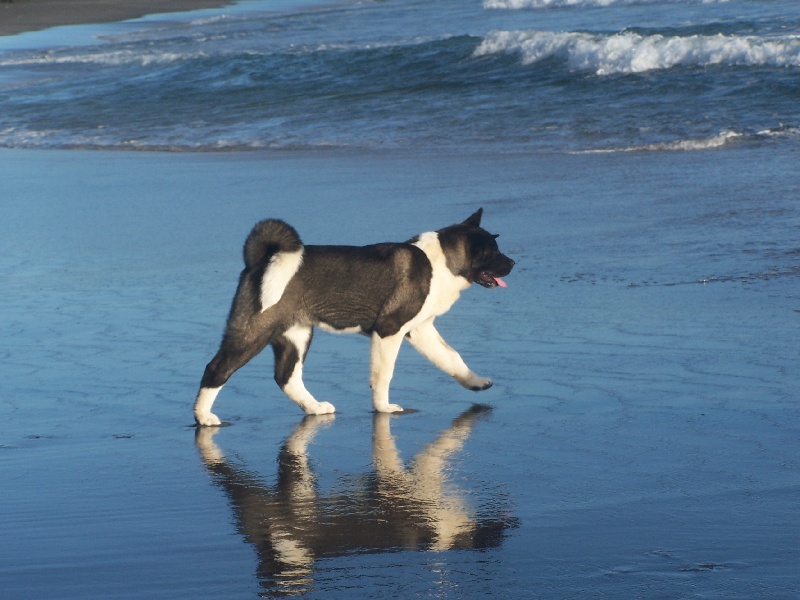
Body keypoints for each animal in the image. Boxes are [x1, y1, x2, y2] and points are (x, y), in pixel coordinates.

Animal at [197, 209, 516, 424]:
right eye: (493, 251)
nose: (513, 263)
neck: (441, 262)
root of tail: (262, 260)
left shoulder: (420, 330)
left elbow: (451, 358)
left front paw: (475, 382)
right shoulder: (389, 330)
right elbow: (384, 375)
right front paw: (383, 408)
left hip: (297, 335)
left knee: (287, 378)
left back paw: (314, 408)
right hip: (254, 332)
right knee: (217, 369)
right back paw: (203, 416)